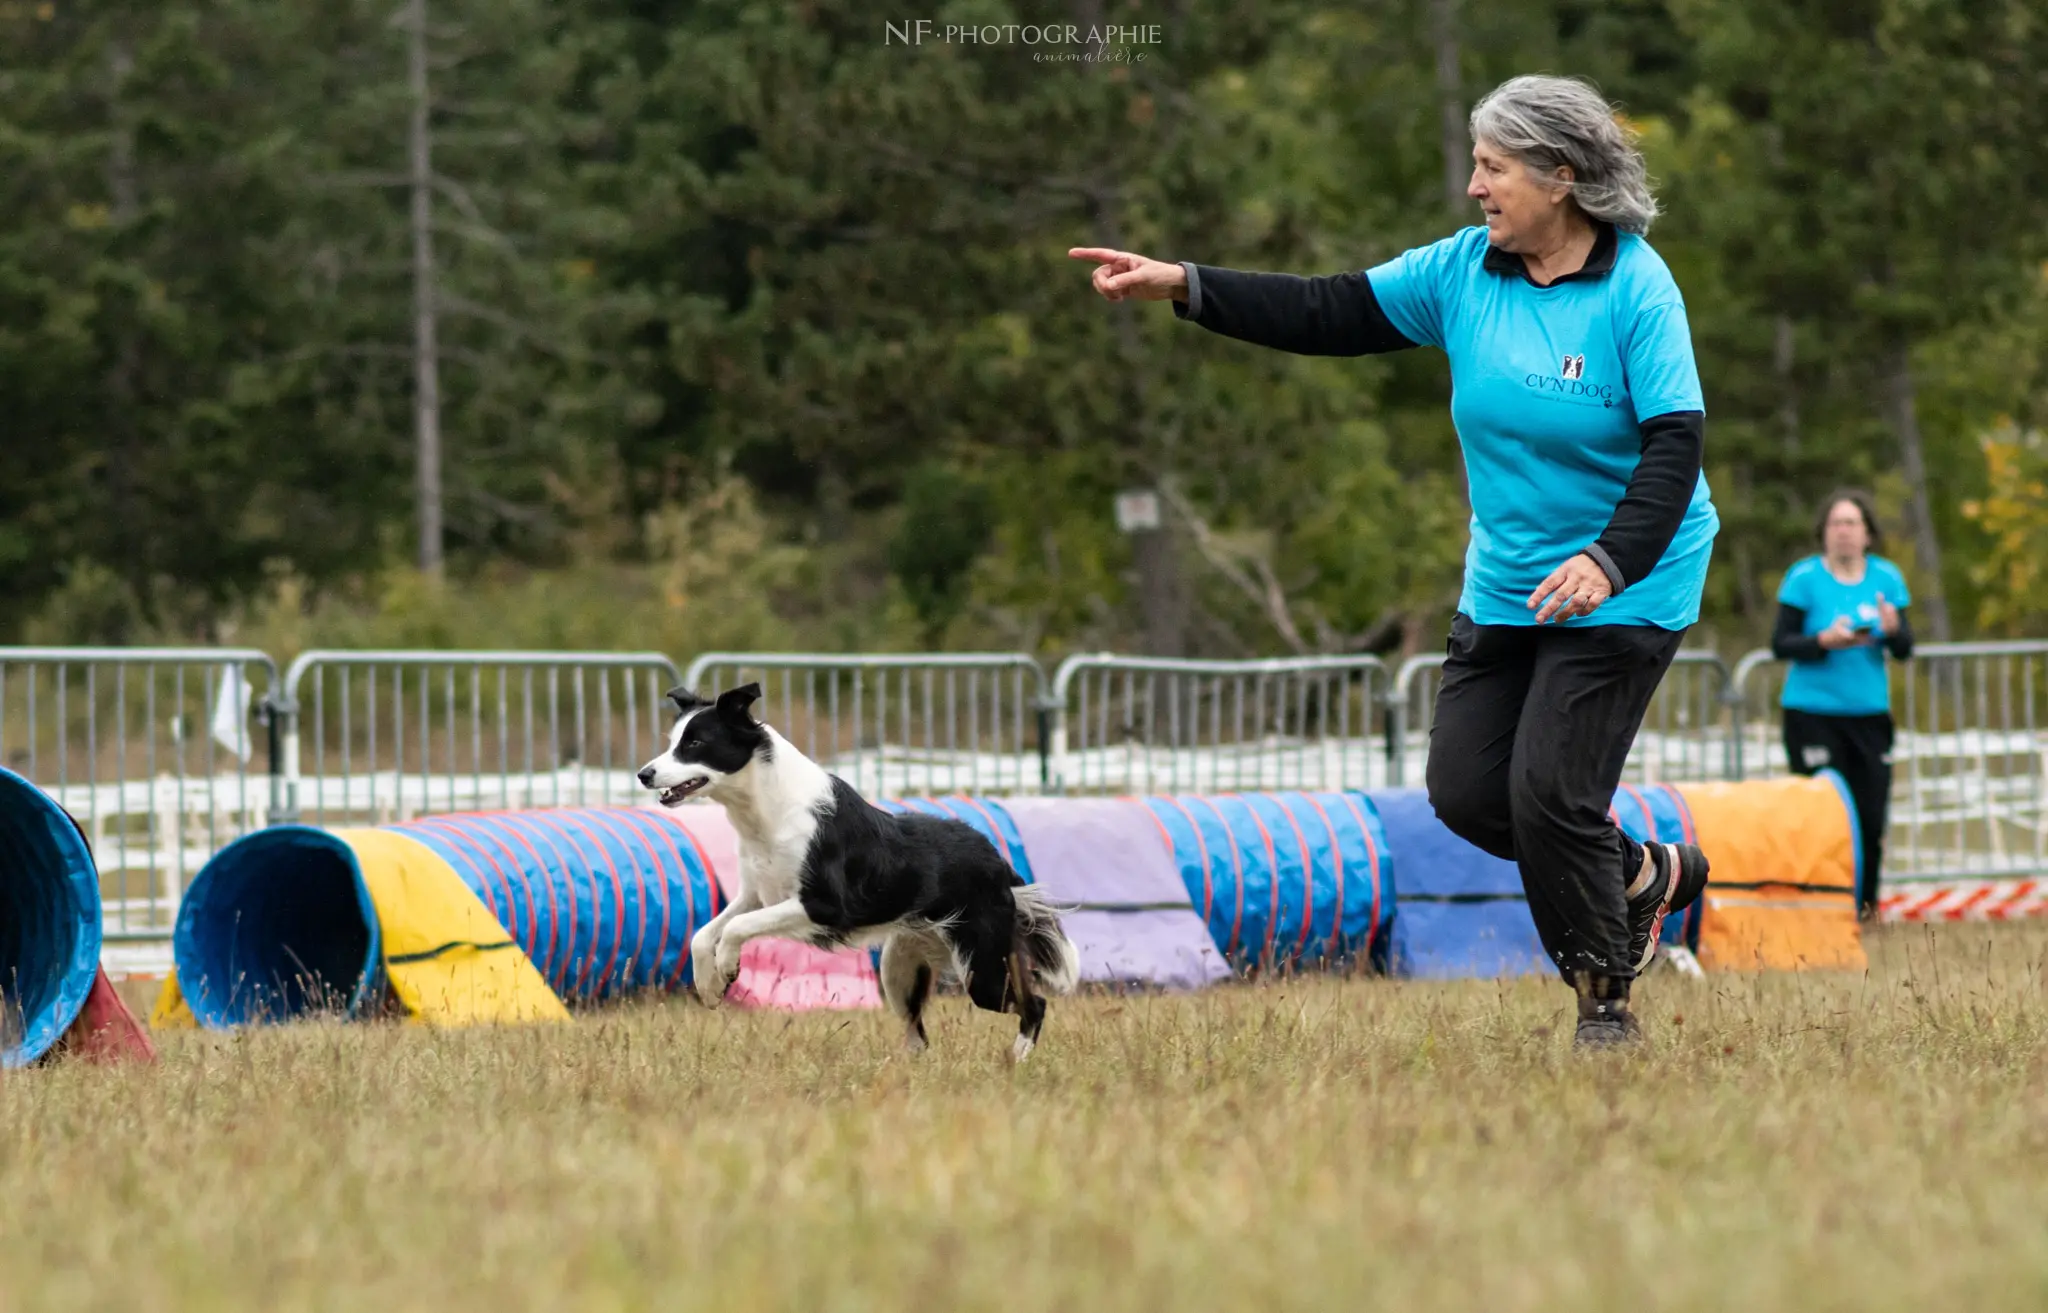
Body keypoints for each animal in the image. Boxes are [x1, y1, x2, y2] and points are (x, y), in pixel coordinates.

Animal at [634, 680, 1089, 1056]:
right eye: (672, 742)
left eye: (695, 743)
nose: (643, 774)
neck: (767, 810)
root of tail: (997, 861)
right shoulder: (756, 893)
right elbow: (704, 932)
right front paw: (710, 985)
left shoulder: (824, 905)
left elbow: (734, 929)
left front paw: (727, 968)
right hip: (900, 967)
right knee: (917, 1031)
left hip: (981, 967)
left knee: (1034, 1004)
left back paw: (1016, 1058)